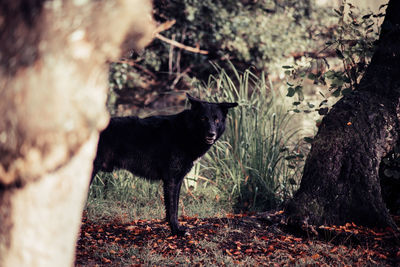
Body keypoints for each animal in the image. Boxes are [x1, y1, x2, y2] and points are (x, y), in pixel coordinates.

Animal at [91, 94, 238, 237]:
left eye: (216, 120)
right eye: (203, 118)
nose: (211, 134)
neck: (185, 131)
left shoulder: (177, 180)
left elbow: (174, 208)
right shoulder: (171, 180)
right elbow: (172, 209)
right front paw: (177, 231)